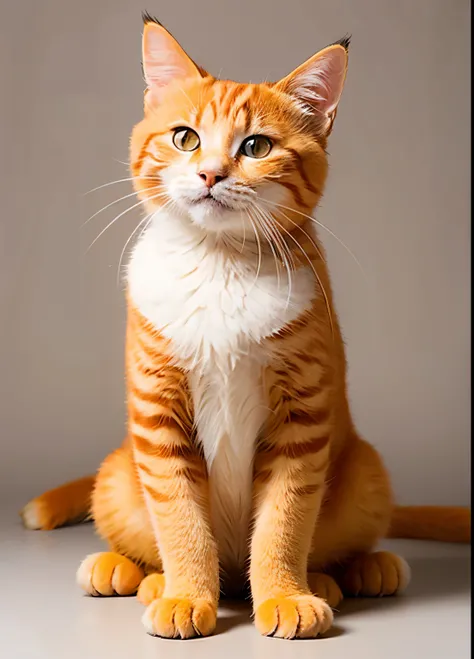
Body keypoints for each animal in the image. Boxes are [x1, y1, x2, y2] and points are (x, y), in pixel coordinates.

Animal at [20, 15, 468, 640]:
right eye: (186, 138)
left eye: (256, 146)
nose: (210, 173)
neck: (220, 266)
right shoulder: (159, 415)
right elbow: (180, 518)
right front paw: (186, 594)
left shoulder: (303, 417)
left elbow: (284, 519)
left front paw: (284, 594)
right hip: (116, 472)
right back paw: (132, 572)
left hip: (366, 471)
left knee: (338, 540)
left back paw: (353, 571)